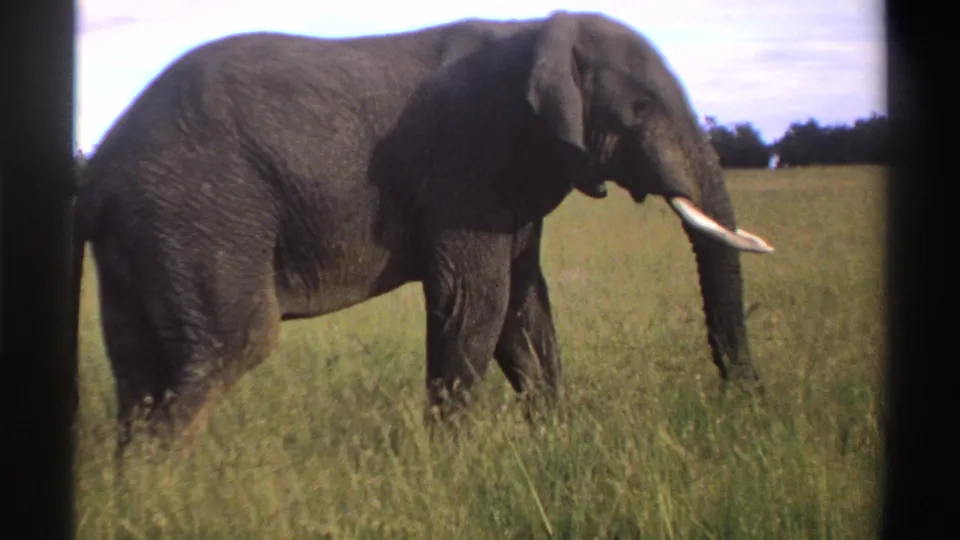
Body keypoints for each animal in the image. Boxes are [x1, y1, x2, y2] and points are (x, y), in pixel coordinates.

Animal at [75, 11, 774, 459]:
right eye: (641, 109)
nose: (747, 412)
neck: (537, 32)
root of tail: (99, 167)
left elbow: (525, 312)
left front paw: (557, 445)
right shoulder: (470, 162)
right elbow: (478, 303)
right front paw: (451, 468)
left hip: (150, 231)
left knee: (140, 369)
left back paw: (138, 491)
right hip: (201, 213)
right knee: (233, 343)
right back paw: (169, 492)